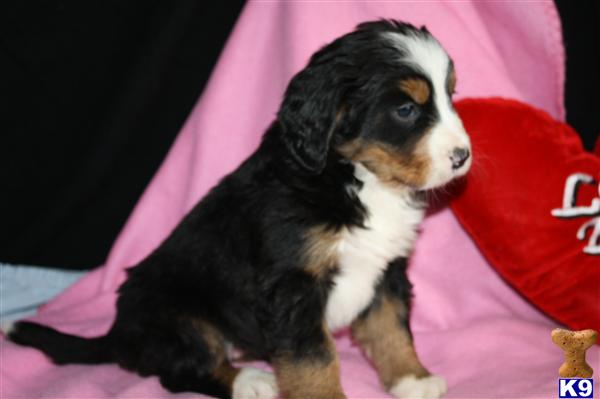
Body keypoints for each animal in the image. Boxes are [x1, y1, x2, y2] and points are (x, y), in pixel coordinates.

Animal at [7, 19, 472, 399]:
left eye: (450, 97)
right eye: (406, 110)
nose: (463, 156)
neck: (356, 178)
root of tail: (119, 335)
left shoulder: (386, 269)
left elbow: (392, 327)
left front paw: (412, 378)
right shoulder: (293, 284)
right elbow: (313, 357)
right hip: (177, 313)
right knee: (180, 372)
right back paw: (249, 381)